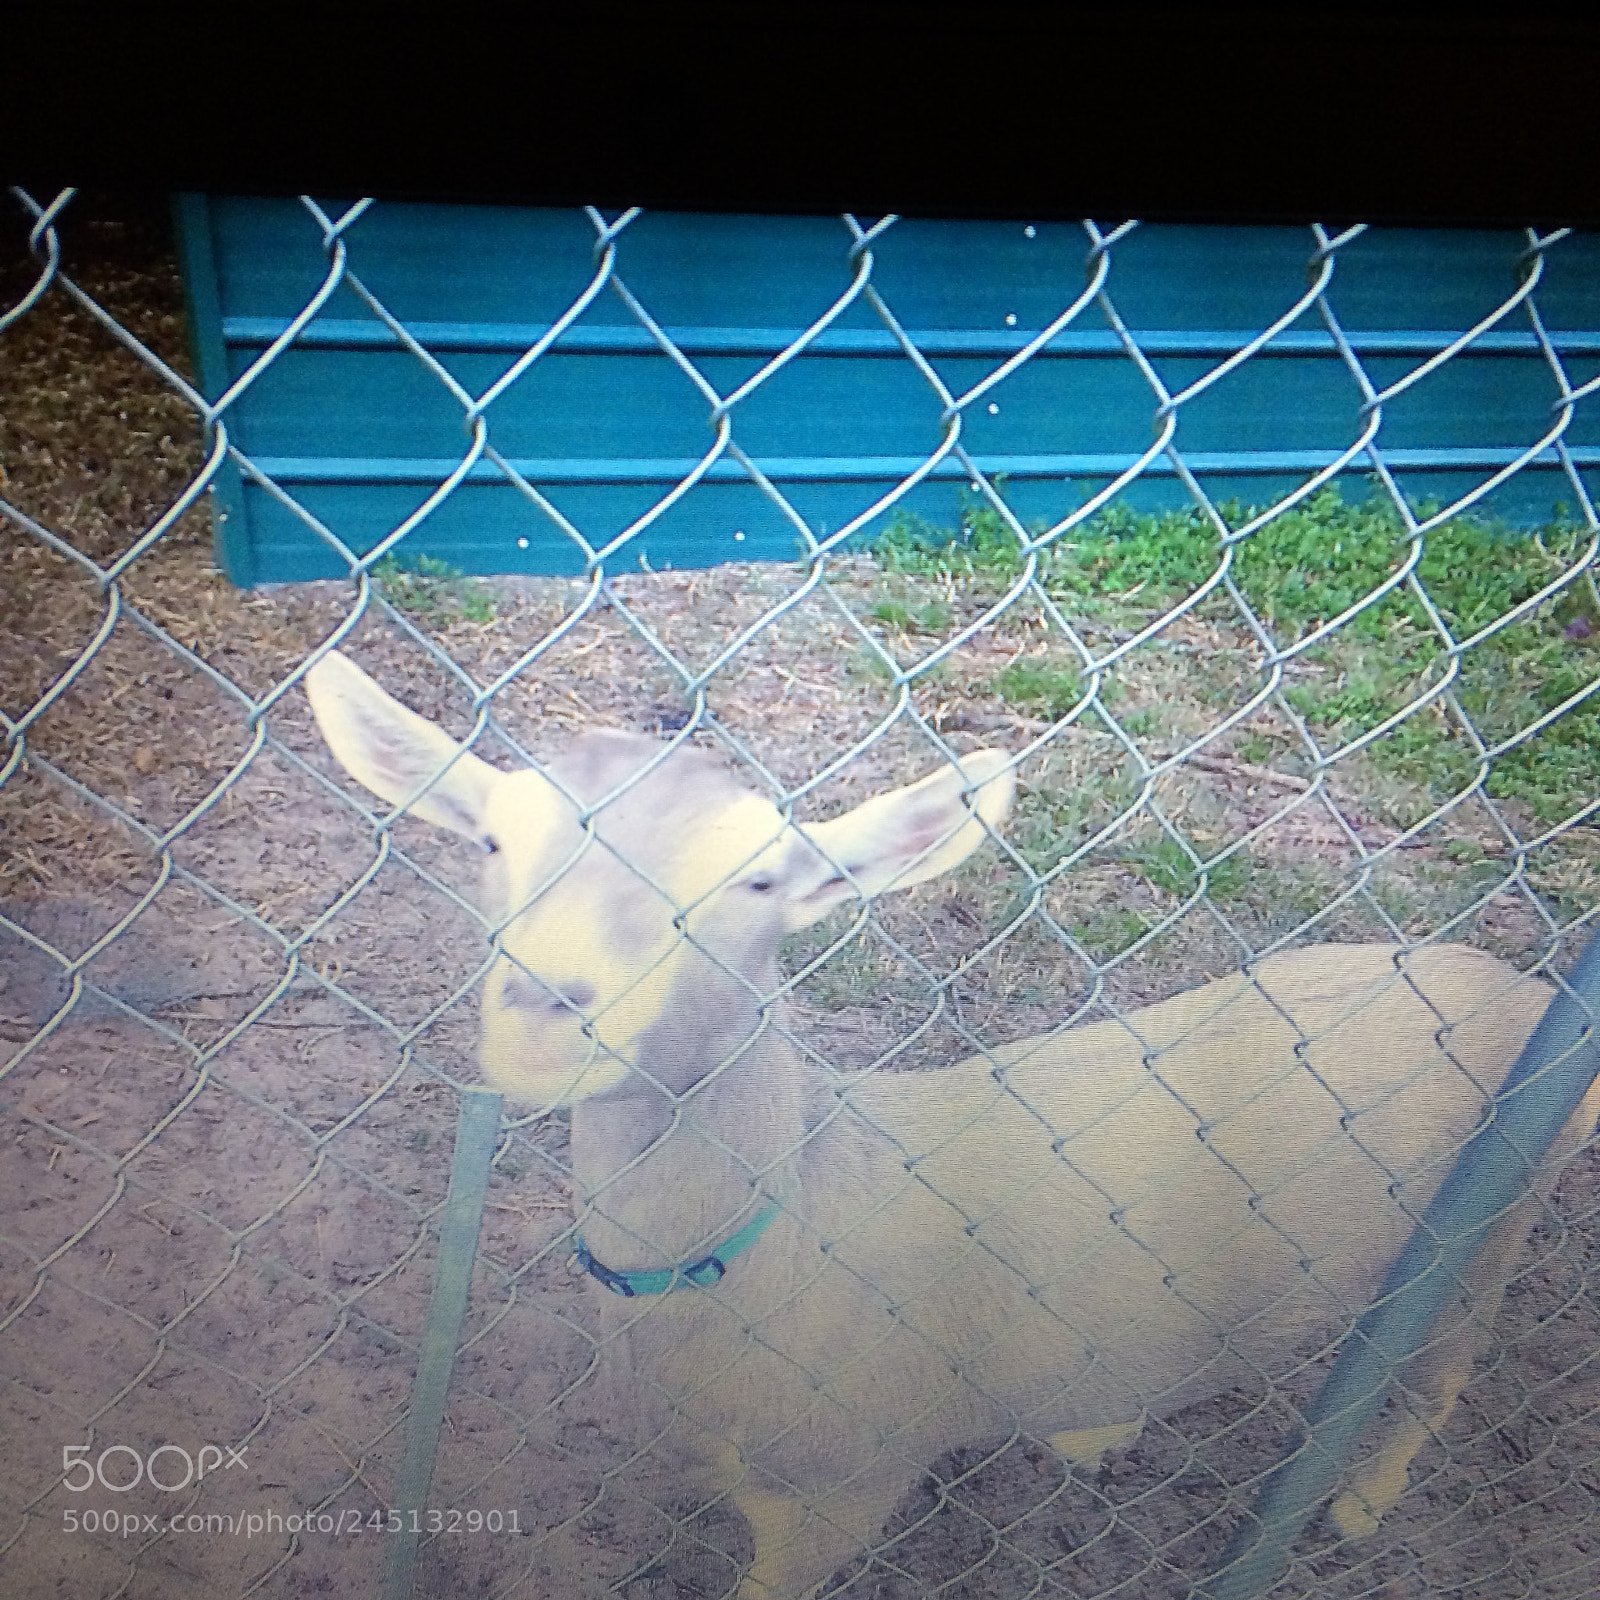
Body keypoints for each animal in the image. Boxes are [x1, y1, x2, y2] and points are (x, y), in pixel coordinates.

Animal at [305, 649, 1599, 1598]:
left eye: (760, 882)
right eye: (491, 839)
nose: (546, 1013)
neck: (794, 1219)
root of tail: (1520, 988)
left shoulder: (840, 1488)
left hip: (1480, 1230)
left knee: (1438, 1373)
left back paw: (1359, 1502)